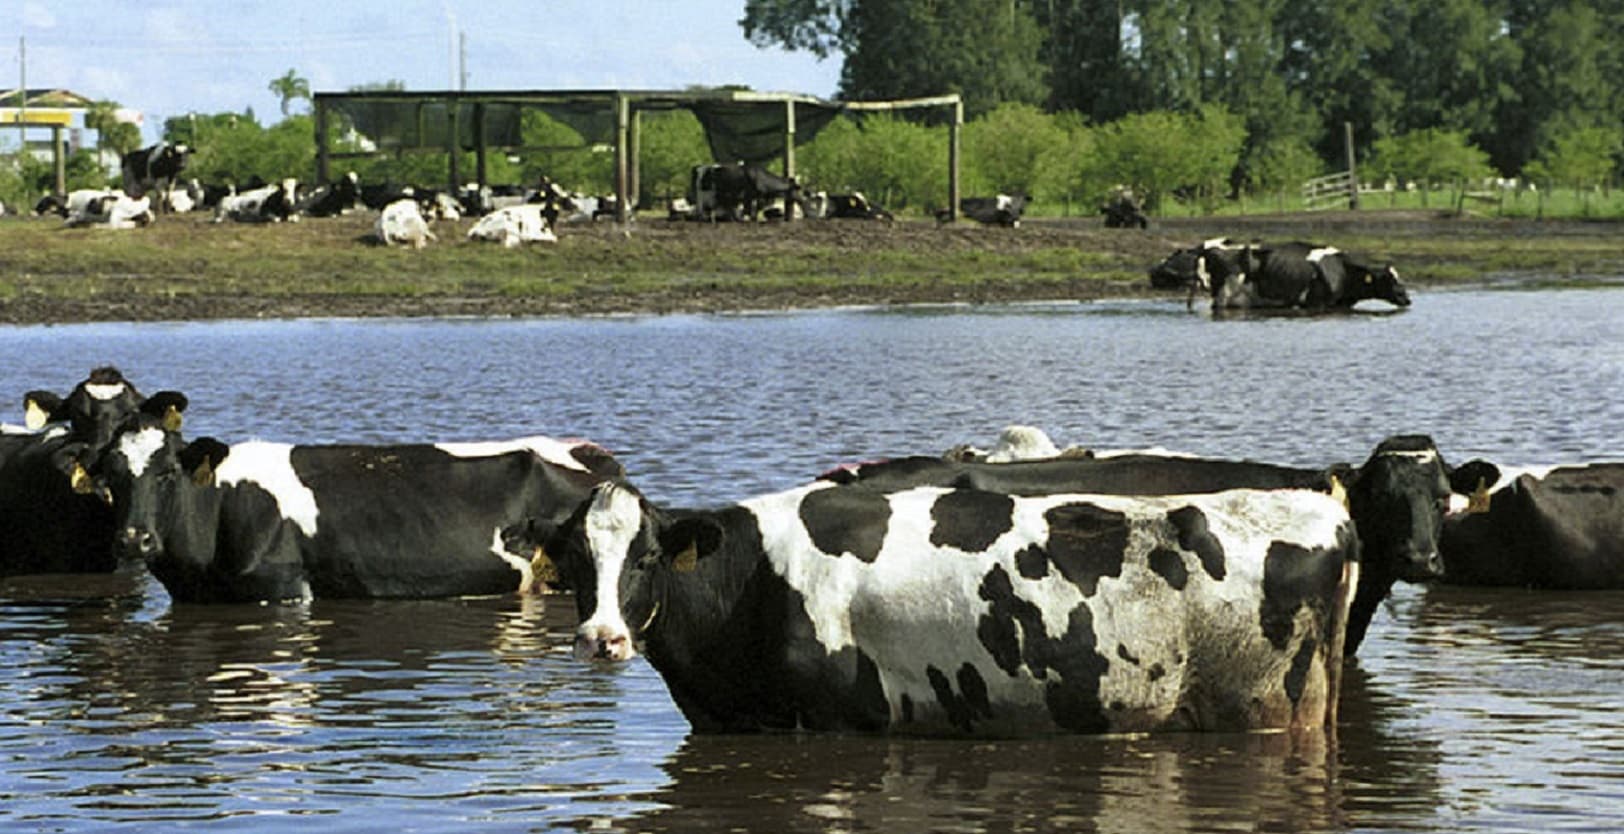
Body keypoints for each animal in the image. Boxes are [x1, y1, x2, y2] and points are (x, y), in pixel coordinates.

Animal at [511, 477, 1358, 737]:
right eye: (577, 562)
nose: (601, 638)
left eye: (646, 558)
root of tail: (1319, 505)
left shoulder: (835, 722)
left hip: (1264, 709)